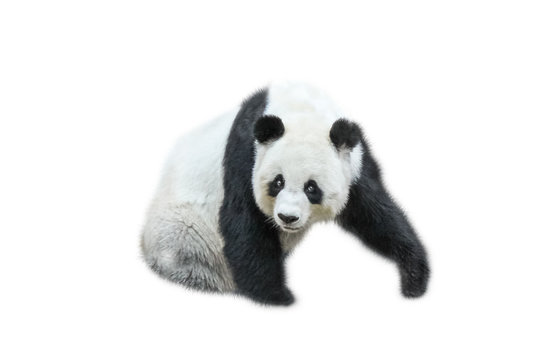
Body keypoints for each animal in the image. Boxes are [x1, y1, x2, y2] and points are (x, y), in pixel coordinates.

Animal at [142, 83, 430, 306]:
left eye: (312, 188)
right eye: (277, 183)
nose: (287, 217)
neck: (302, 109)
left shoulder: (353, 162)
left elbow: (375, 215)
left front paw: (414, 278)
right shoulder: (246, 153)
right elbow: (244, 222)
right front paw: (278, 296)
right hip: (184, 229)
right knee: (186, 247)